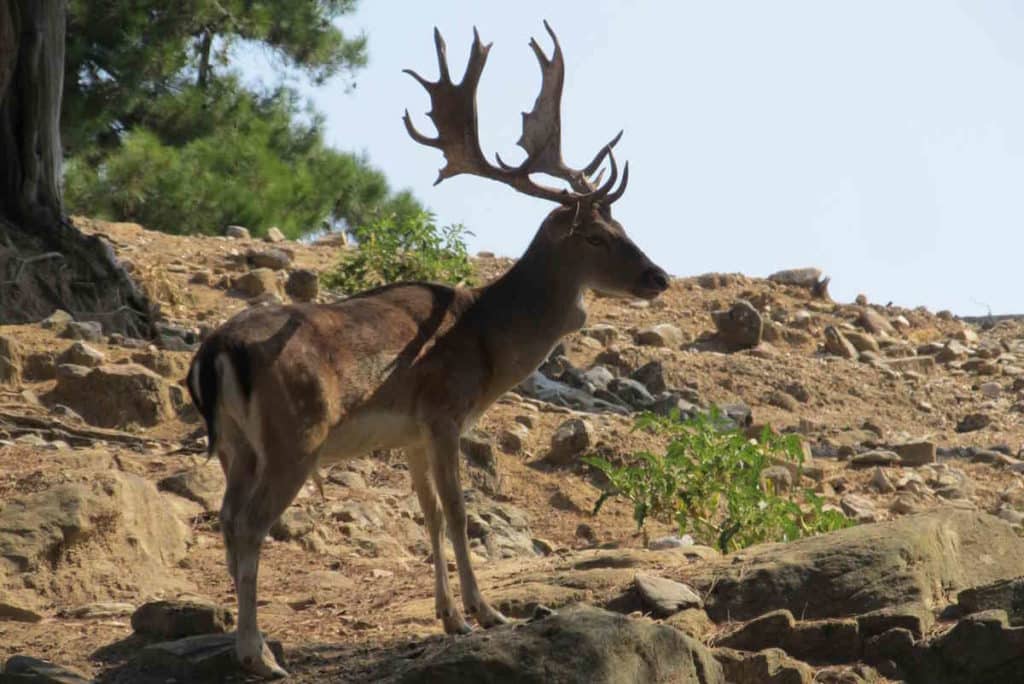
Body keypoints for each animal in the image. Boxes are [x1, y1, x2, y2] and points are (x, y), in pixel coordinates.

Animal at [186, 22, 670, 679]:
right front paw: (490, 613)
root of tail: (216, 350)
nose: (658, 277)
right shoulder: (444, 411)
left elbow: (430, 513)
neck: (486, 341)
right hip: (295, 435)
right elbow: (462, 512)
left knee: (226, 517)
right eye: (596, 236)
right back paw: (257, 653)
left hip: (237, 446)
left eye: (623, 226)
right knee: (250, 524)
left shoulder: (410, 431)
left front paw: (451, 618)